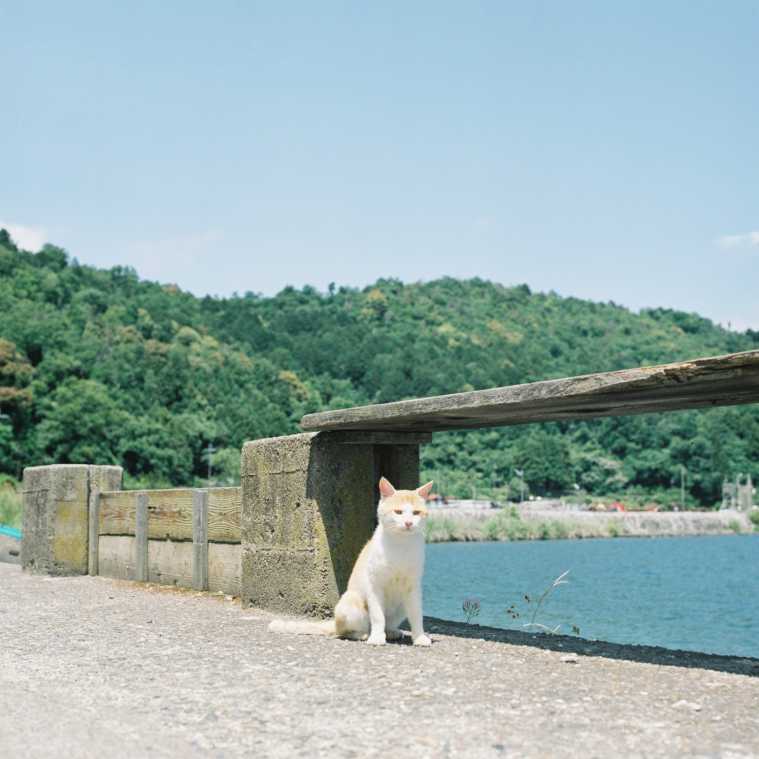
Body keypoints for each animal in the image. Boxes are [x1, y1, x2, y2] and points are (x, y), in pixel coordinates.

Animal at [268, 476, 434, 648]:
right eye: (398, 512)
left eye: (416, 513)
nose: (408, 523)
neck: (401, 543)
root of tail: (335, 622)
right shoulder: (374, 585)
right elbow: (377, 615)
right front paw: (376, 638)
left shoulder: (413, 587)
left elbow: (416, 615)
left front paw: (419, 637)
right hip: (351, 602)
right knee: (344, 632)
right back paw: (364, 634)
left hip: (401, 606)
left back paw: (390, 632)